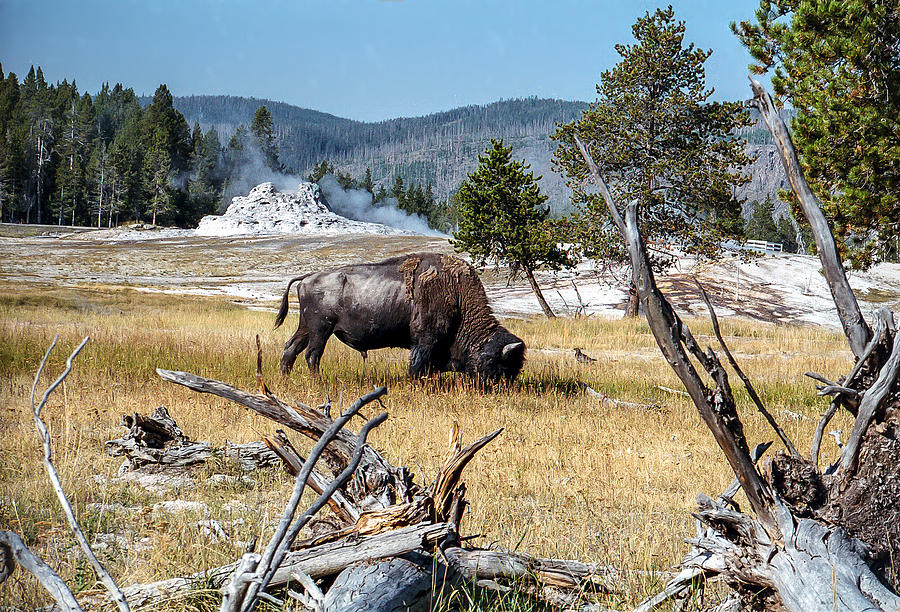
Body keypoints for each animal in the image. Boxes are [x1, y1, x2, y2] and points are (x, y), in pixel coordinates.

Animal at [276, 252, 528, 378]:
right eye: (500, 364)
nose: (500, 389)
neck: (456, 294)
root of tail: (307, 277)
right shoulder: (425, 339)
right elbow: (417, 364)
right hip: (321, 329)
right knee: (312, 355)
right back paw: (318, 382)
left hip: (306, 327)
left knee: (291, 348)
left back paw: (285, 378)